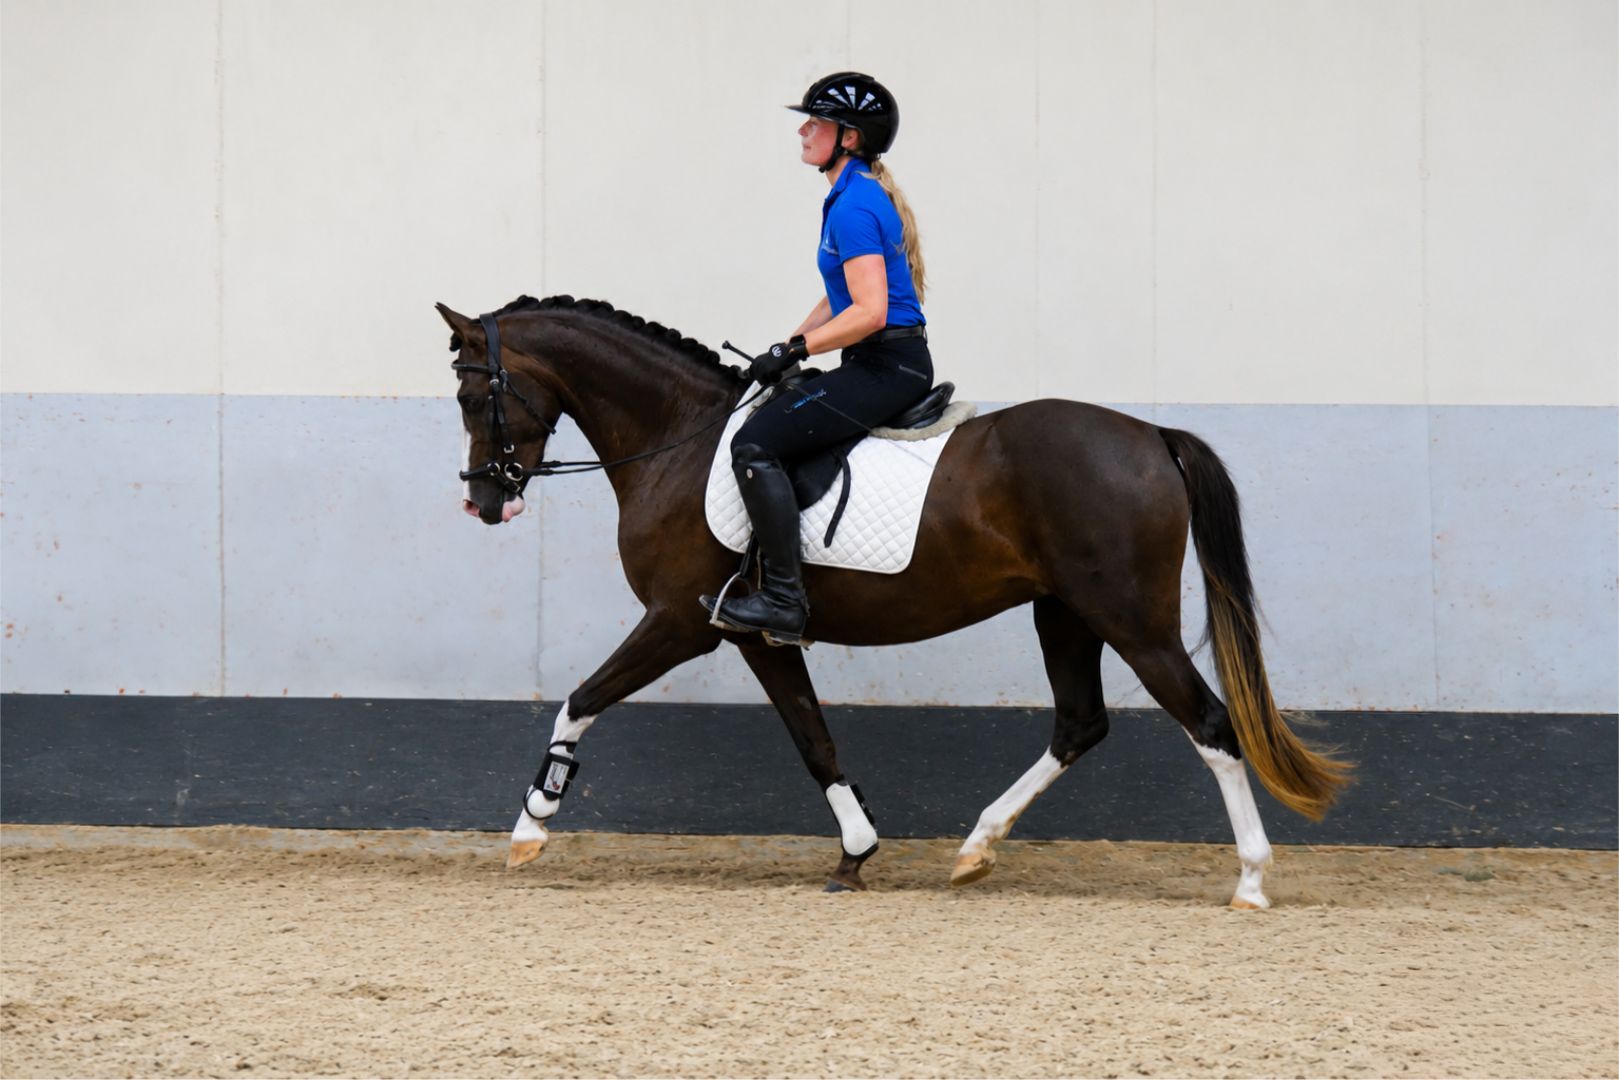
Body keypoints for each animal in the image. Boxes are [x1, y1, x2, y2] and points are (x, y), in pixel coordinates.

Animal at [440, 294, 1351, 909]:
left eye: (471, 394)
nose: (484, 501)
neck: (679, 438)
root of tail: (1152, 437)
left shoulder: (679, 622)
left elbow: (581, 699)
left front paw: (532, 824)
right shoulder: (756, 637)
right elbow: (814, 742)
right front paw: (855, 850)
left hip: (1130, 620)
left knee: (1210, 724)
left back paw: (1250, 880)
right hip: (1063, 613)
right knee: (1078, 724)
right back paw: (976, 847)